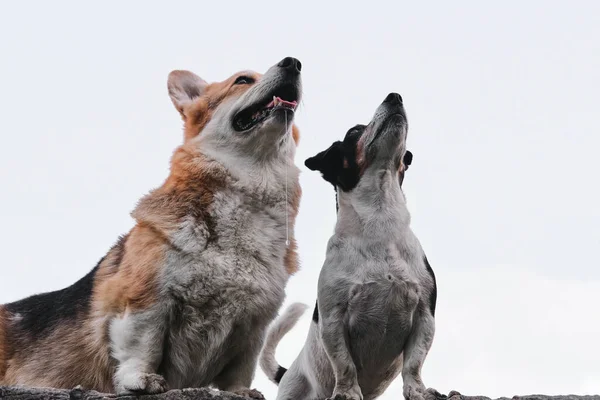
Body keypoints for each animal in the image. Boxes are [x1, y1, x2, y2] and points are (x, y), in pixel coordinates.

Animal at [0, 55, 302, 396]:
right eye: (242, 80)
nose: (293, 62)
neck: (250, 187)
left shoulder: (254, 325)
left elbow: (240, 369)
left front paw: (240, 392)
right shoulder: (146, 299)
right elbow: (143, 345)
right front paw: (140, 379)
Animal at [260, 93, 442, 400]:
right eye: (354, 132)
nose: (395, 96)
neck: (379, 223)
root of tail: (289, 372)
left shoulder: (424, 315)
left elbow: (414, 364)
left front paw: (418, 391)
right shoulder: (334, 318)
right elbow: (344, 365)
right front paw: (346, 393)